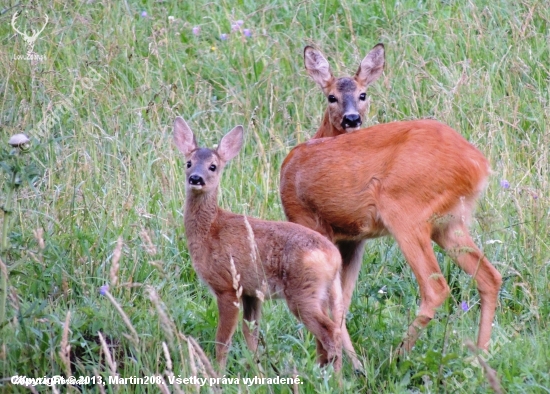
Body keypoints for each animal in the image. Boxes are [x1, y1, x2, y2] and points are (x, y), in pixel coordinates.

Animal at [174, 116, 362, 370]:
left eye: (213, 166)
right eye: (189, 163)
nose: (196, 178)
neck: (210, 229)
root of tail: (333, 256)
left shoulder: (227, 286)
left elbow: (222, 341)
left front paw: (217, 372)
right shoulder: (252, 292)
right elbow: (250, 334)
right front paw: (257, 368)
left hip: (303, 293)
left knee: (330, 332)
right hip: (321, 292)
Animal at [282, 45, 502, 358]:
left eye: (363, 94)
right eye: (331, 96)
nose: (352, 119)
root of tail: (478, 164)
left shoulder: (309, 222)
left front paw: (330, 360)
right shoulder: (353, 239)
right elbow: (342, 301)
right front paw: (351, 362)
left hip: (406, 214)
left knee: (436, 288)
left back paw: (396, 357)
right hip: (450, 223)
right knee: (489, 276)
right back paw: (478, 356)